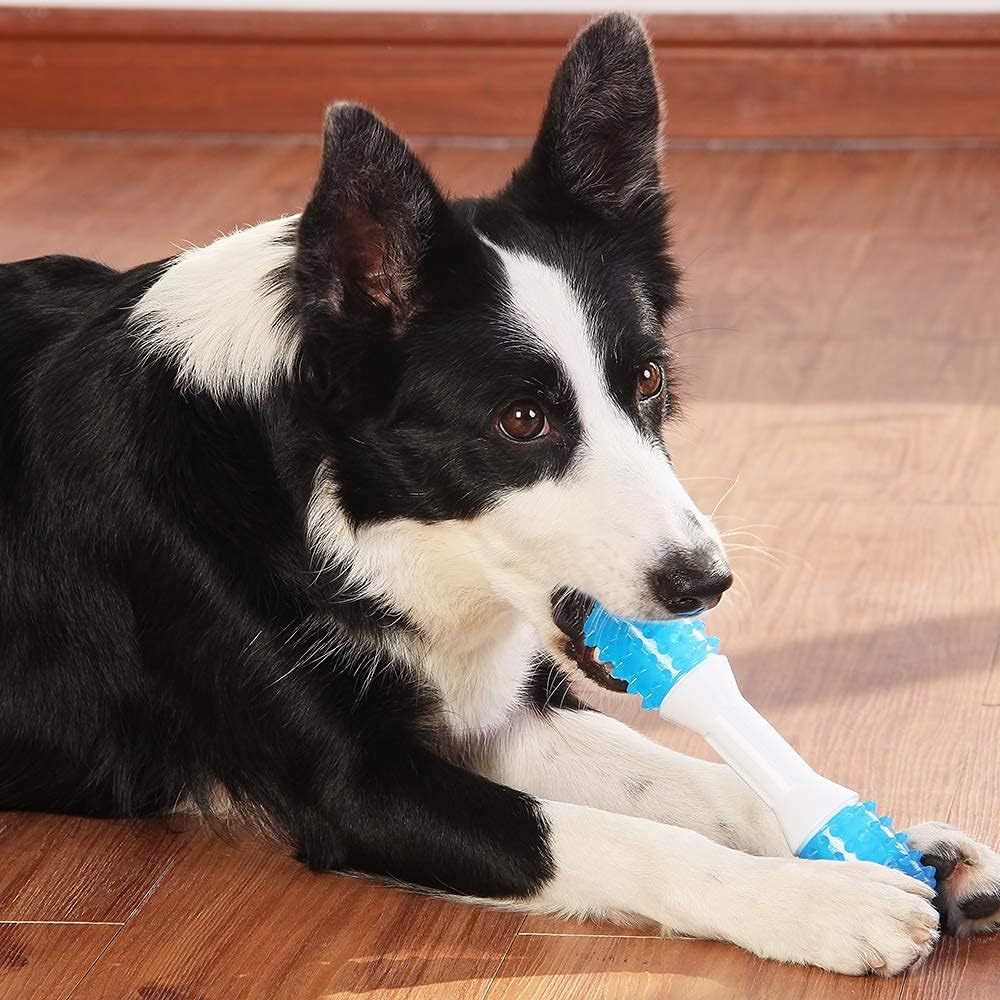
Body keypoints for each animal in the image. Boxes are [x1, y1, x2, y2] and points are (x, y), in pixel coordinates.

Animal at [0, 9, 996, 976]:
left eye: (649, 381)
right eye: (522, 421)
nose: (704, 584)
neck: (330, 512)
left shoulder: (508, 717)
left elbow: (707, 783)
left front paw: (902, 845)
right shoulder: (357, 790)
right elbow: (617, 838)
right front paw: (822, 901)